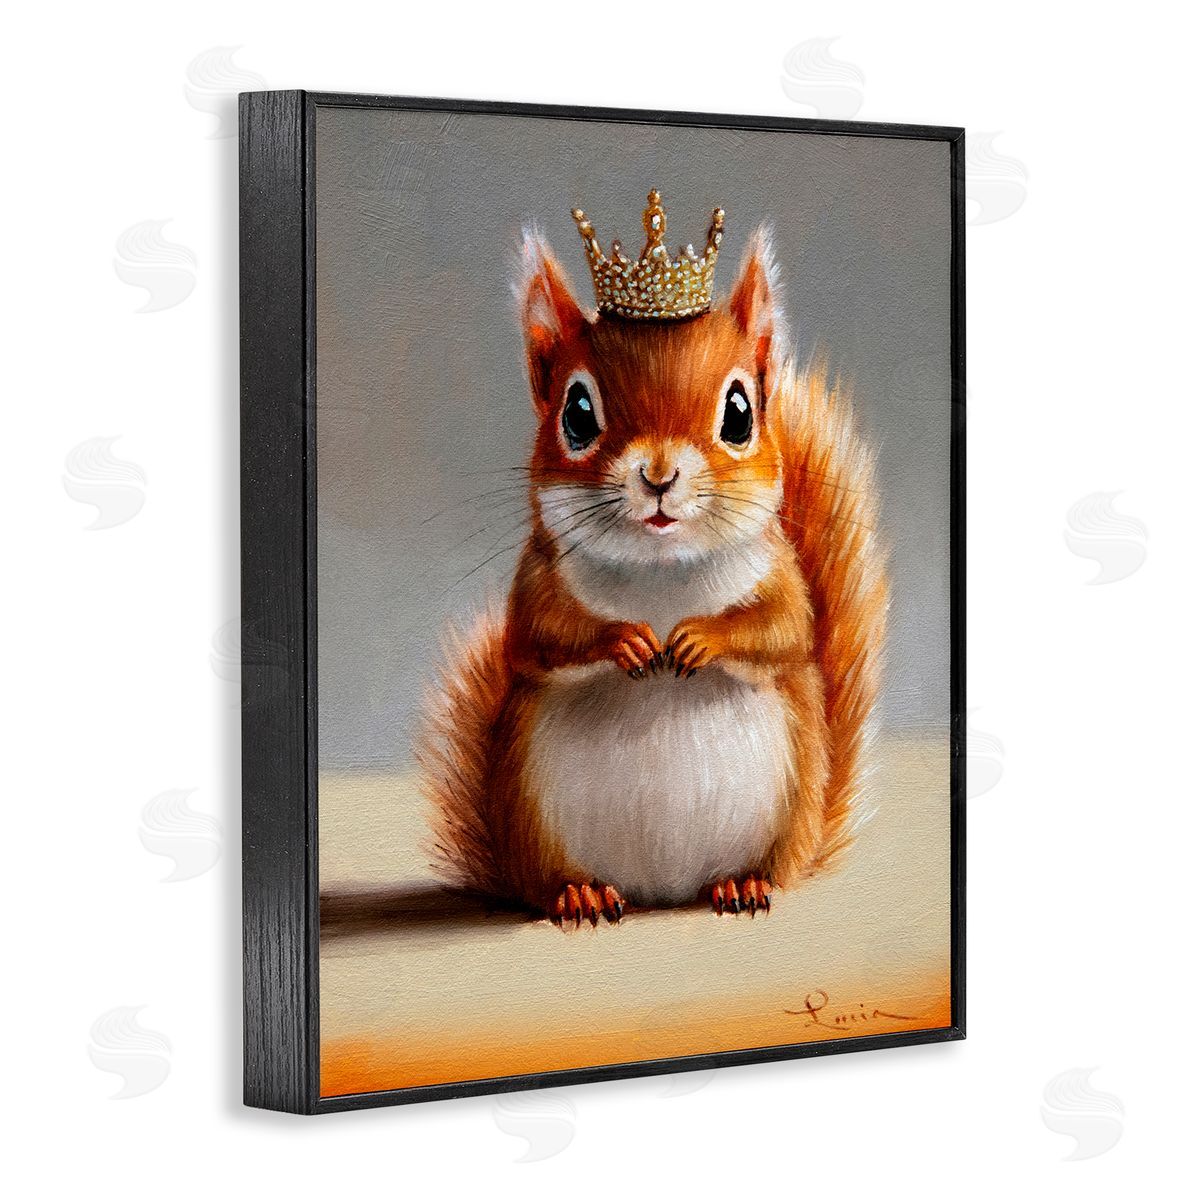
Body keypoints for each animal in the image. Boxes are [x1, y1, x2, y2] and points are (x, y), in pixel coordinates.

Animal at [419, 191, 888, 927]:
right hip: (530, 812)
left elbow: (783, 629)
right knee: (551, 881)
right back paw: (579, 893)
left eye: (740, 412)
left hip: (788, 811)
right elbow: (539, 636)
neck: (661, 572)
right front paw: (626, 641)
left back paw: (743, 884)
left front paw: (699, 639)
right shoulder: (538, 579)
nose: (660, 475)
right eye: (577, 413)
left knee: (766, 871)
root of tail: (660, 892)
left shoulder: (781, 575)